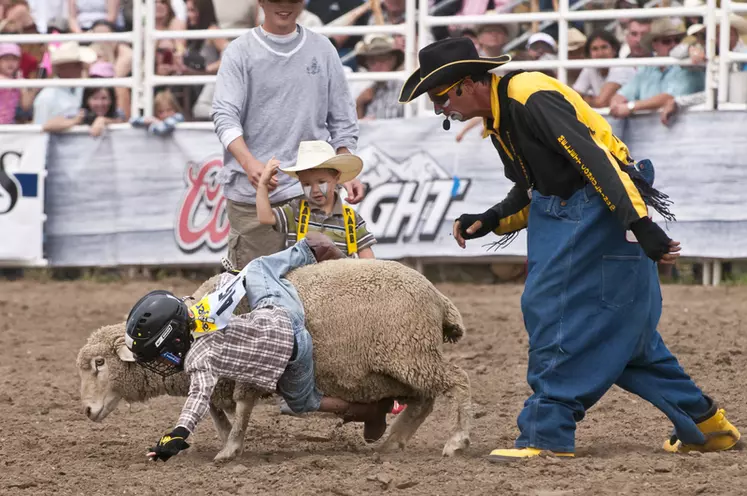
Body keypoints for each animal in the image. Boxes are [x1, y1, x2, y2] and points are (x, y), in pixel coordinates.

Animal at [77, 258, 474, 464]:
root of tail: (437, 295)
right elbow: (217, 412)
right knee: (422, 401)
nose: (86, 411)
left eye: (100, 363)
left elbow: (240, 407)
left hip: (410, 353)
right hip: (397, 367)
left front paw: (230, 449)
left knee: (458, 381)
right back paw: (392, 442)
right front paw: (227, 442)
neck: (195, 321)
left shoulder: (241, 372)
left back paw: (457, 440)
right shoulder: (219, 380)